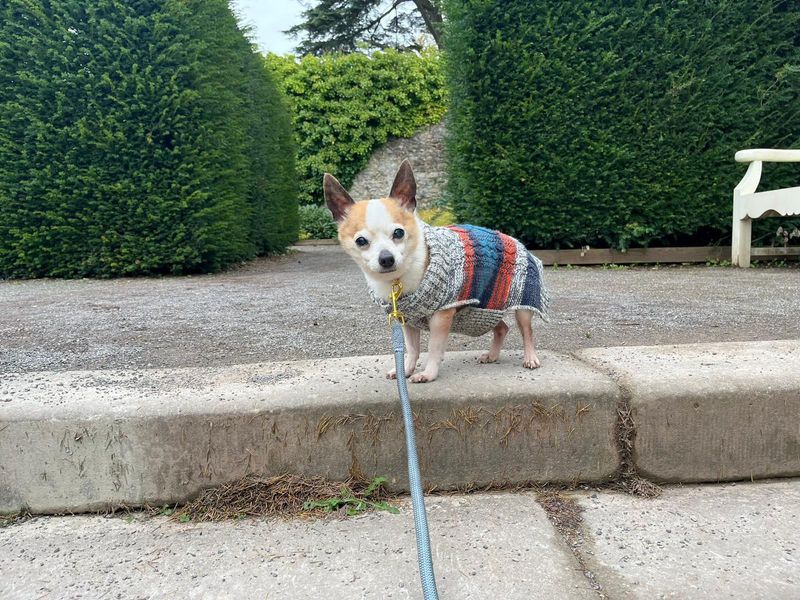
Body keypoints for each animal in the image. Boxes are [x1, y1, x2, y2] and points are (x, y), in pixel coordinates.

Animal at [324, 159, 552, 382]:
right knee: (502, 327)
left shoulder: (441, 316)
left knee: (526, 331)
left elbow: (434, 348)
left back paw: (530, 357)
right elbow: (412, 349)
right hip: (484, 310)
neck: (398, 281)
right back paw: (492, 355)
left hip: (522, 304)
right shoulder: (407, 318)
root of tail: (520, 244)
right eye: (361, 241)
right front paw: (405, 370)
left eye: (398, 233)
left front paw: (428, 374)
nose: (386, 258)